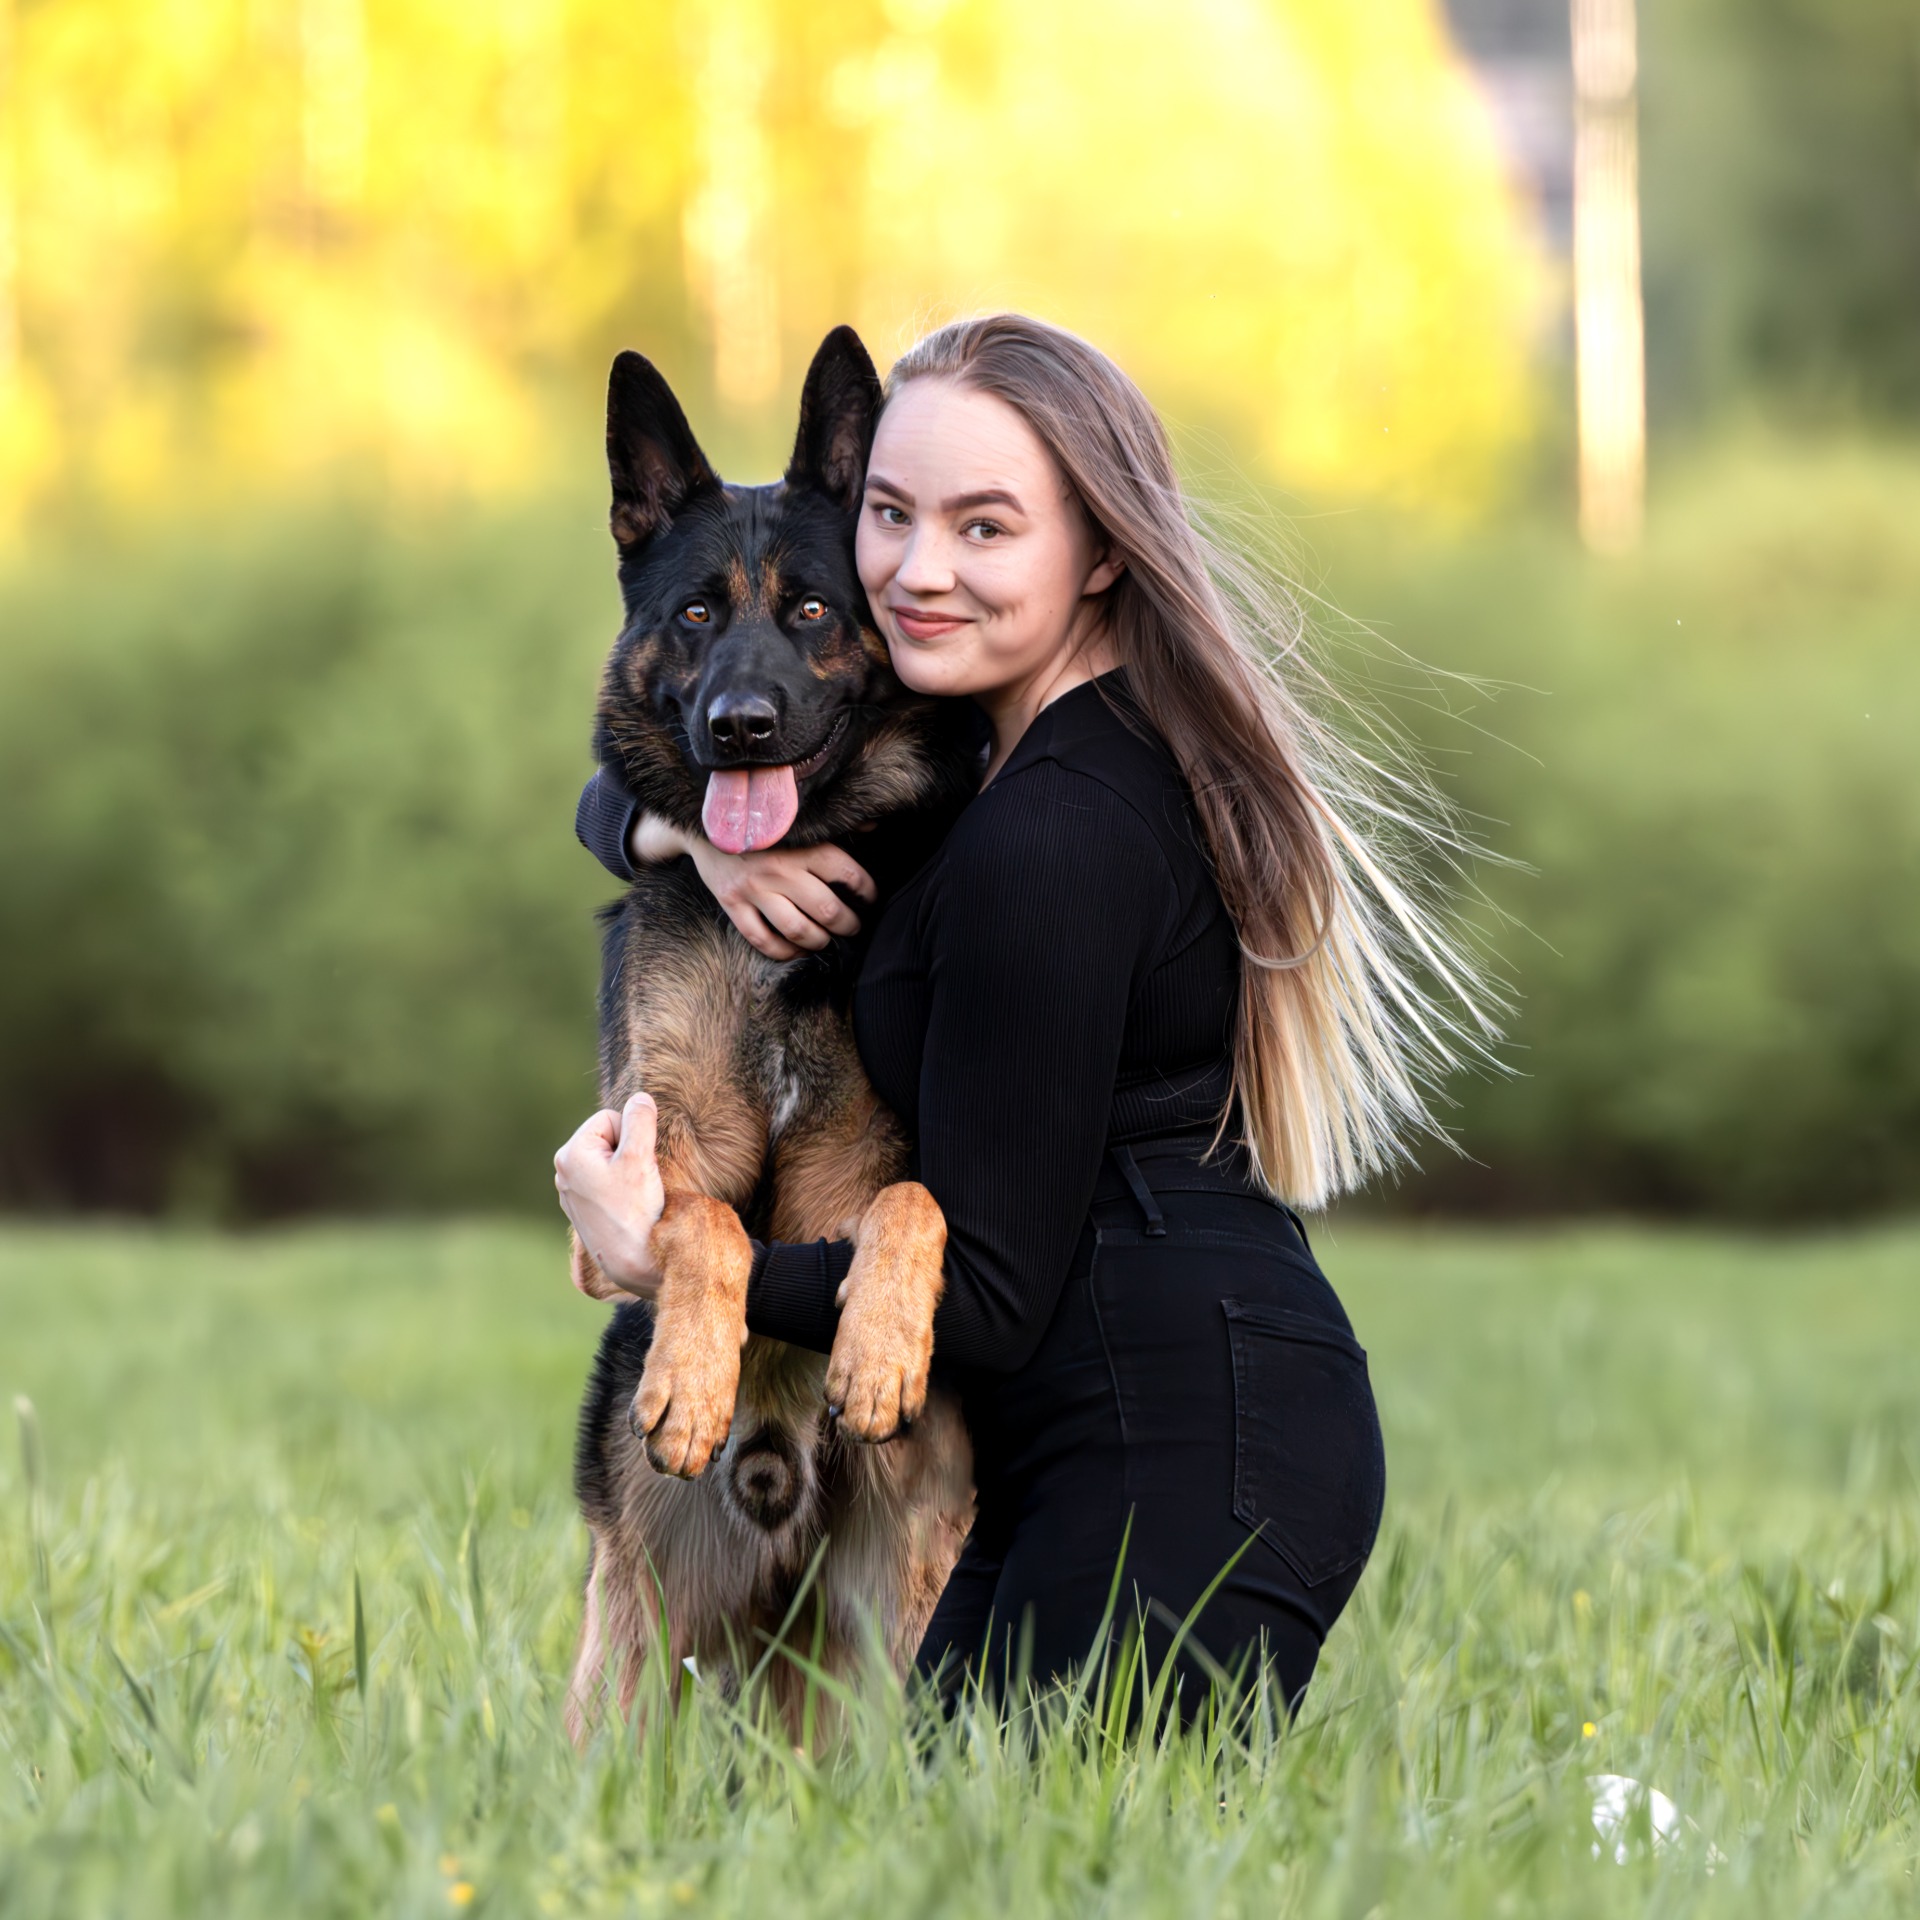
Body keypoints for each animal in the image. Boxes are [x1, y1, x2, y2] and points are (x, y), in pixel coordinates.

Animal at [567, 328, 978, 1739]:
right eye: (696, 613)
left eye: (809, 610)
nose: (738, 725)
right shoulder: (649, 1142)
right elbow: (707, 1221)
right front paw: (694, 1373)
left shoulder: (892, 1149)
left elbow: (915, 1199)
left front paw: (878, 1350)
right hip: (632, 1646)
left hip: (903, 1629)